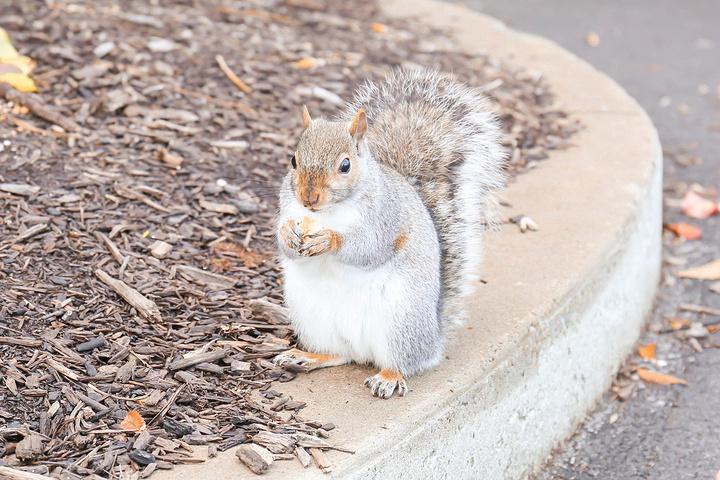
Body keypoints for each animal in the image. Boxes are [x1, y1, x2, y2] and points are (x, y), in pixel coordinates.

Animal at [274, 67, 506, 398]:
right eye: (293, 160)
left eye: (345, 165)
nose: (309, 198)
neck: (327, 213)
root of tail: (433, 337)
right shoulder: (288, 205)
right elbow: (286, 242)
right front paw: (288, 235)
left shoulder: (385, 219)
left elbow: (368, 248)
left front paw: (328, 240)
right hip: (313, 319)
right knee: (339, 354)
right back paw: (308, 356)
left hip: (400, 323)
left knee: (402, 362)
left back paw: (388, 377)